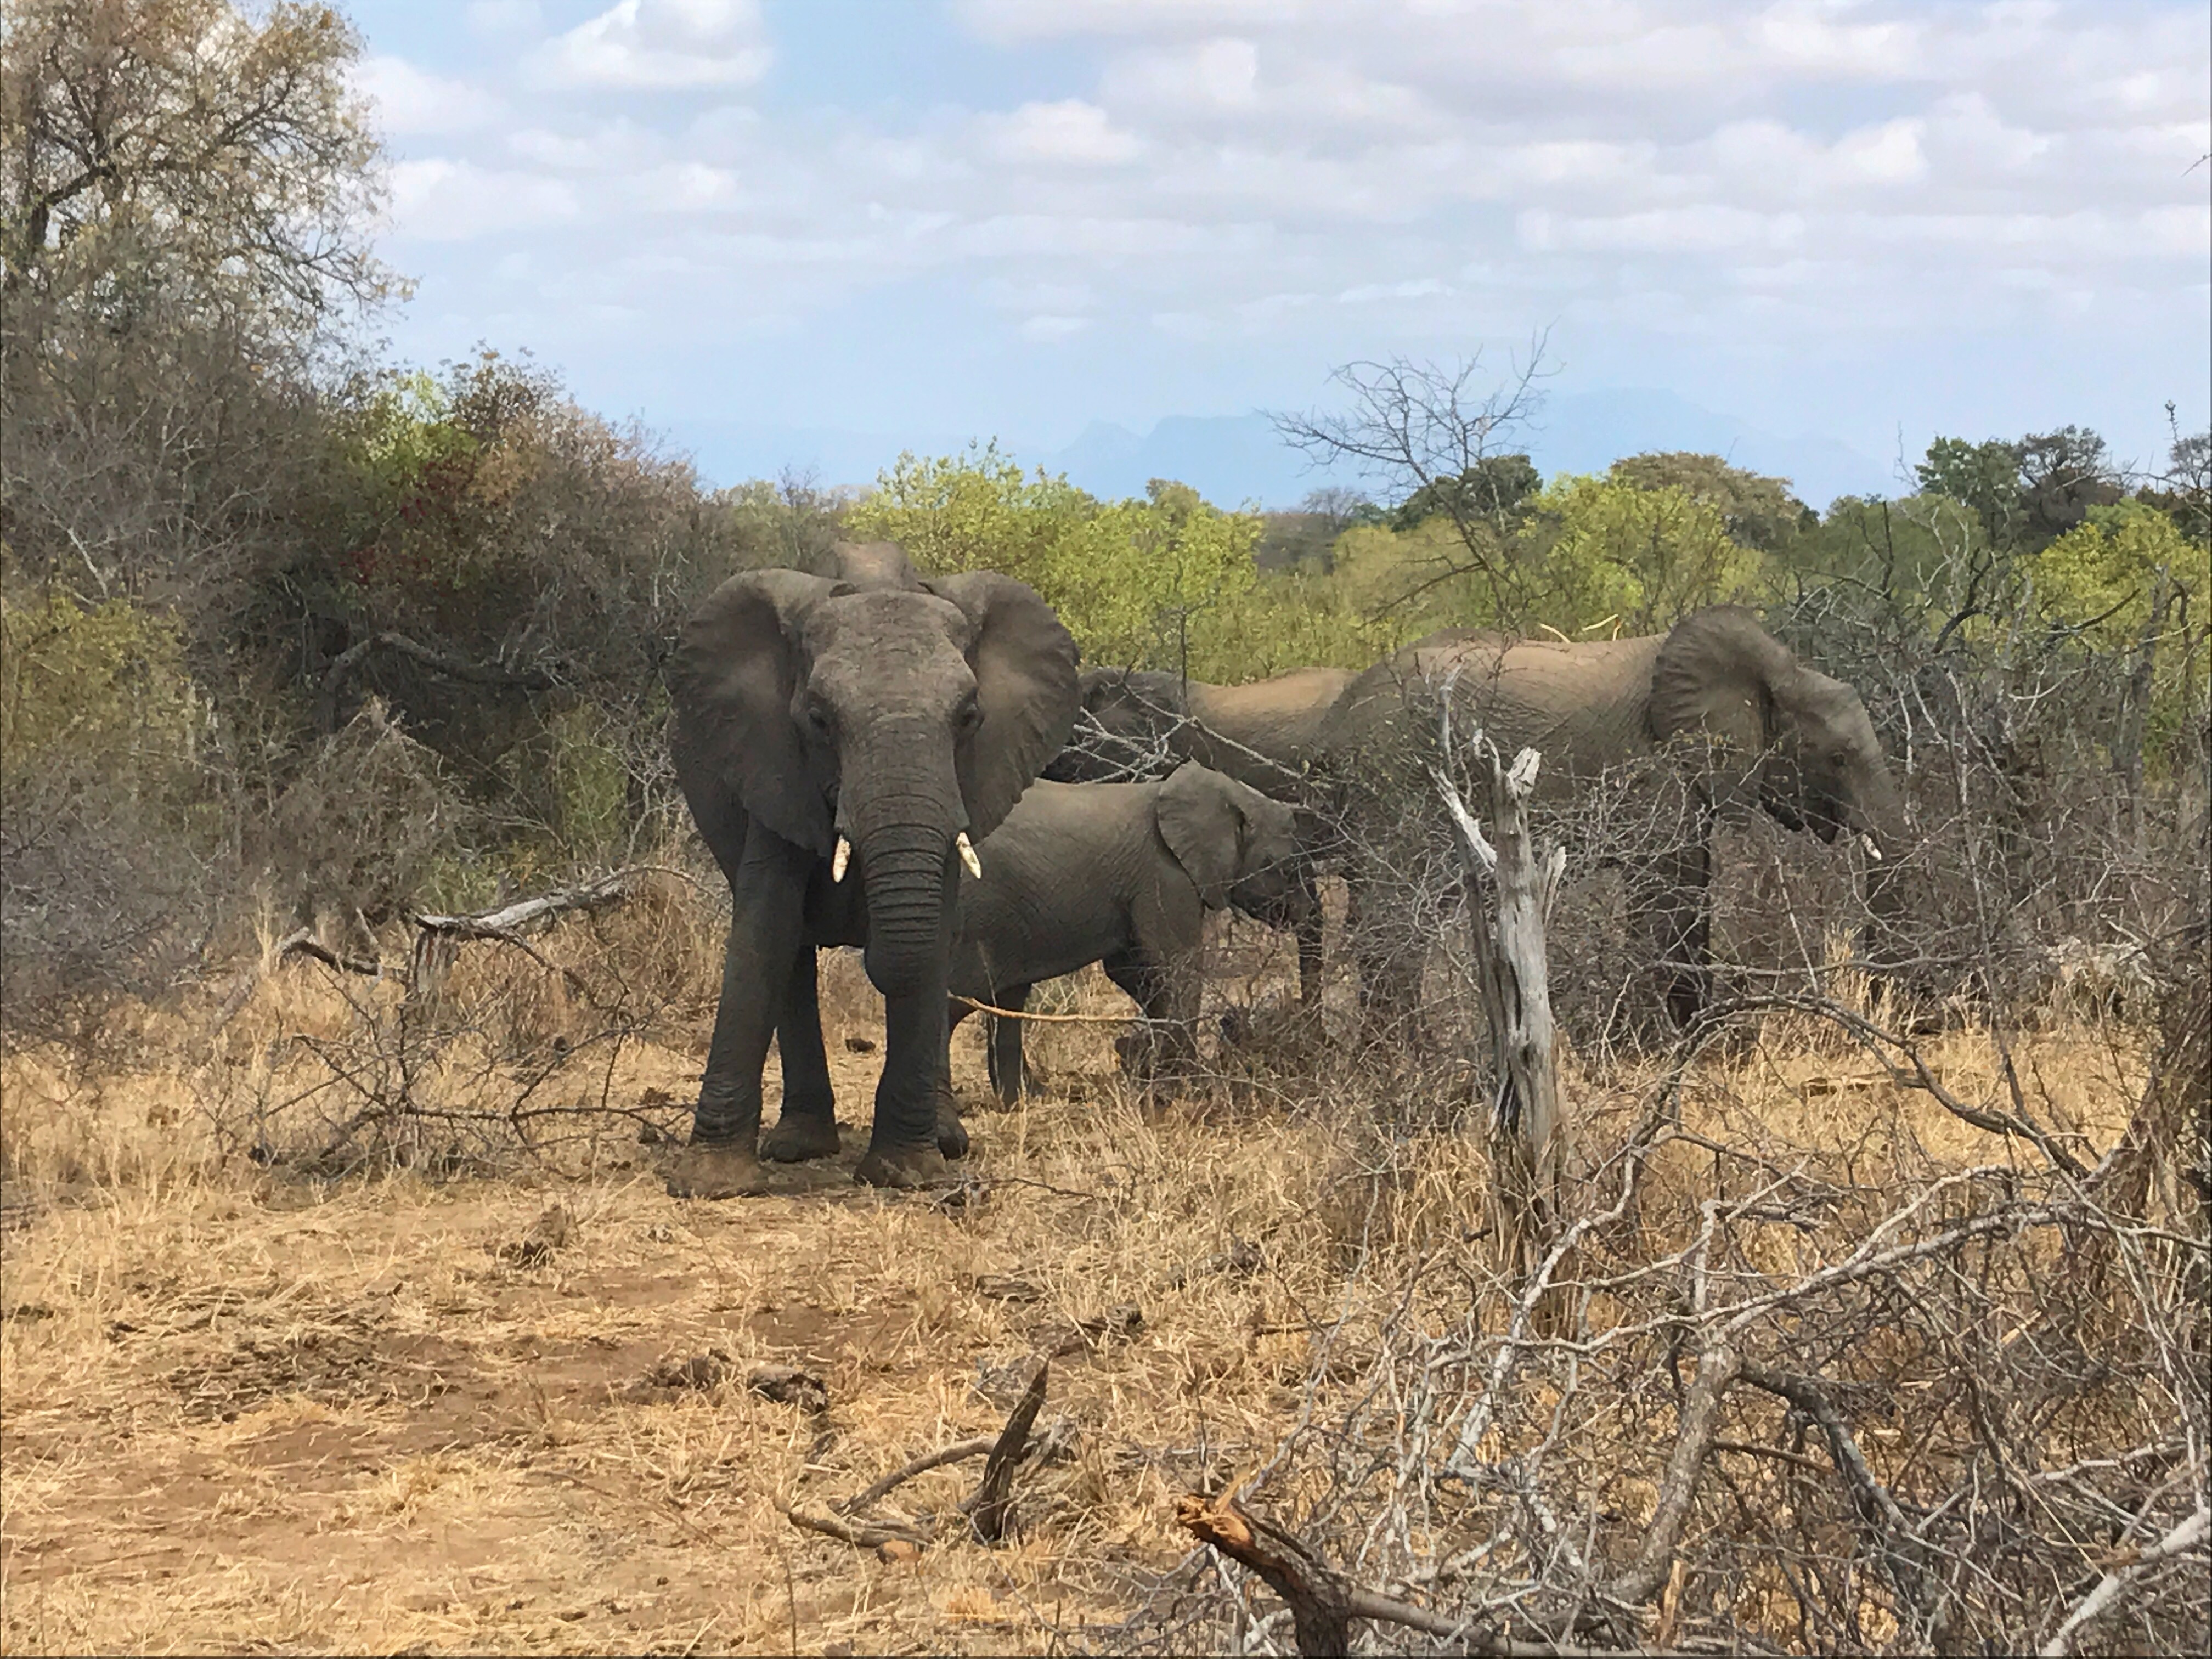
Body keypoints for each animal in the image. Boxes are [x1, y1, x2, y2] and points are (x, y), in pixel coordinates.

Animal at [664, 540, 1079, 1196]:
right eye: (818, 719)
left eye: (969, 716)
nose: (861, 936)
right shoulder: (773, 766)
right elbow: (765, 934)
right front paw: (709, 1183)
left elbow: (933, 940)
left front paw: (905, 1173)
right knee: (795, 958)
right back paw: (799, 1147)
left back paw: (947, 1140)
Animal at [939, 762, 1306, 1105]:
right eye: (1286, 867)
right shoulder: (1166, 875)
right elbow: (1177, 968)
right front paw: (1190, 1091)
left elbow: (1133, 973)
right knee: (963, 996)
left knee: (1006, 998)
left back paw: (1029, 1099)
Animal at [1312, 606, 1905, 1032]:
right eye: (1838, 758)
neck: (1777, 671)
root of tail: (1336, 721)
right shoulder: (1655, 769)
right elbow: (1667, 894)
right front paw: (1660, 1046)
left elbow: (1694, 883)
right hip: (1393, 781)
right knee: (1390, 920)